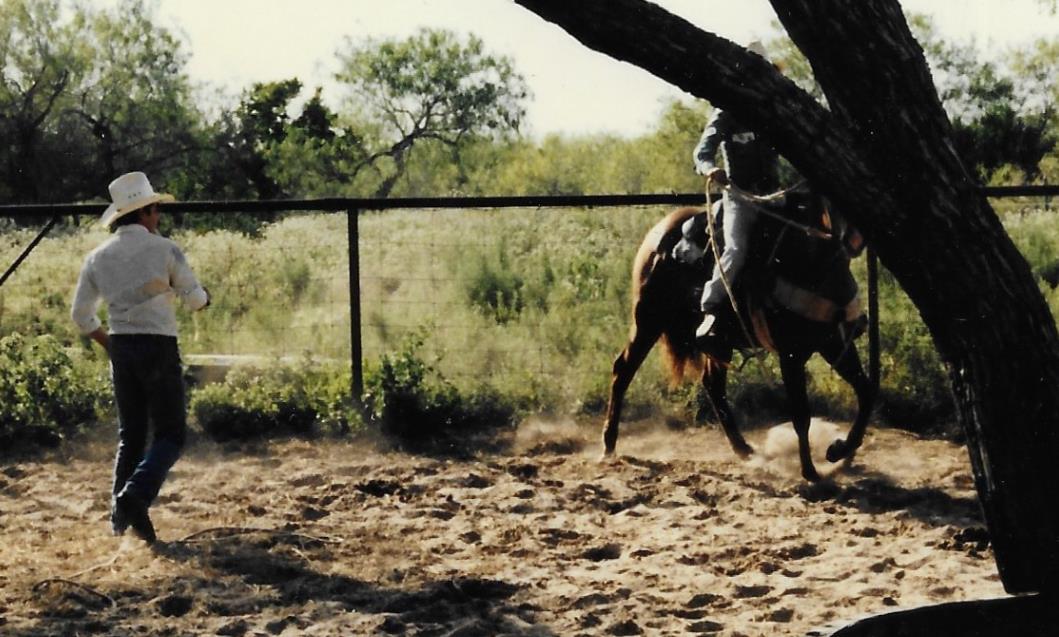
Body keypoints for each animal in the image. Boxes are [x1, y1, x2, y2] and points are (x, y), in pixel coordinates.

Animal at [601, 188, 875, 482]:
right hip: (648, 320)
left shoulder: (835, 345)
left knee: (712, 383)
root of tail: (660, 232)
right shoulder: (791, 355)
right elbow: (801, 415)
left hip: (716, 342)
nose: (852, 239)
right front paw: (811, 472)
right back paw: (609, 444)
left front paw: (839, 450)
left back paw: (743, 448)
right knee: (623, 370)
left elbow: (866, 393)